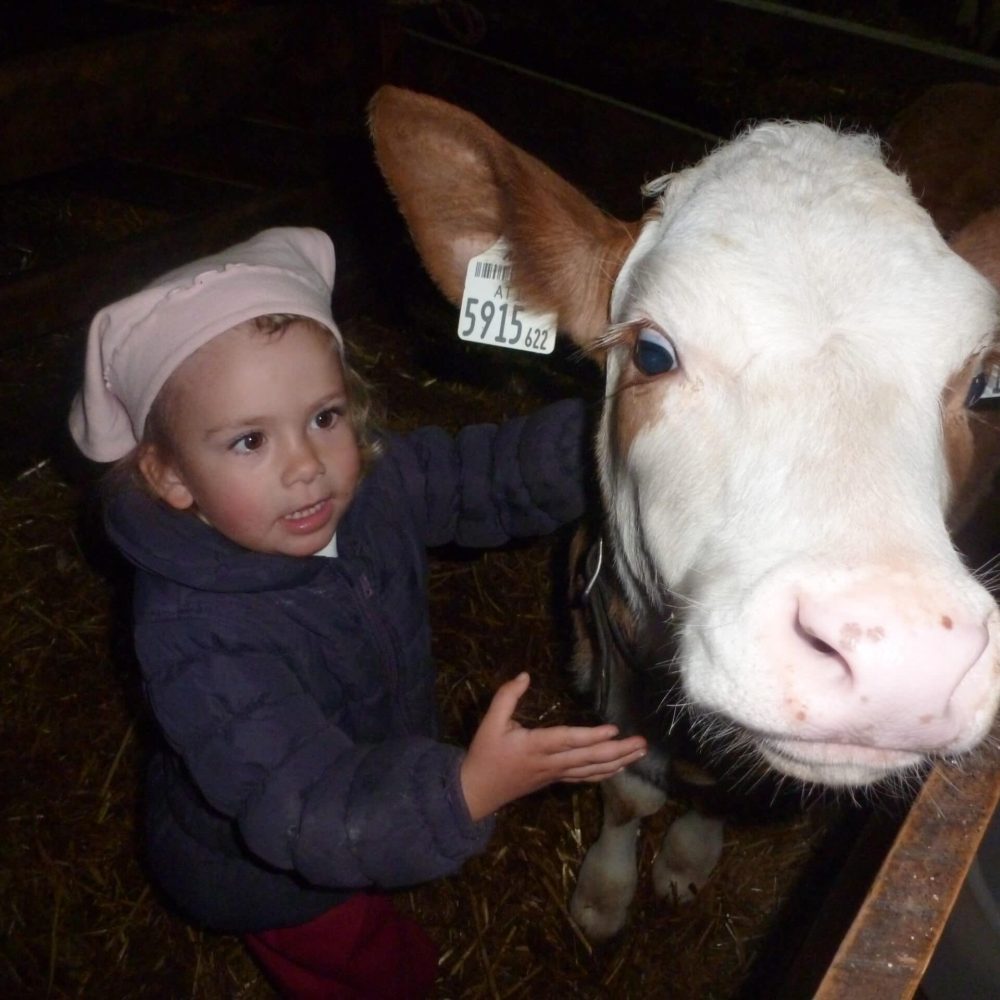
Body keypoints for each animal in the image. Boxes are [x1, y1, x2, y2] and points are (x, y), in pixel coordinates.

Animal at [370, 86, 1000, 936]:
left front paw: (687, 859)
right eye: (652, 353)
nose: (903, 654)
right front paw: (604, 893)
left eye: (982, 383)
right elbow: (629, 789)